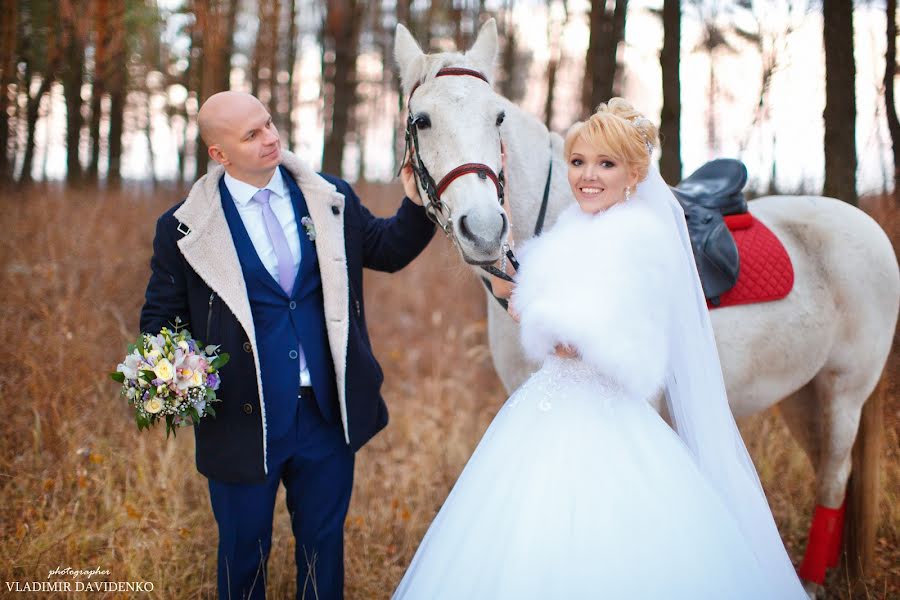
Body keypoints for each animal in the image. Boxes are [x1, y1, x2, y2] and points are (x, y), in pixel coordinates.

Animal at [398, 17, 900, 596]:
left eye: (497, 116)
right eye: (421, 121)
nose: (483, 229)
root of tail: (863, 223)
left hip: (845, 389)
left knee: (834, 479)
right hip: (803, 393)